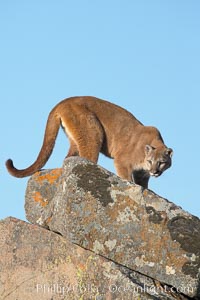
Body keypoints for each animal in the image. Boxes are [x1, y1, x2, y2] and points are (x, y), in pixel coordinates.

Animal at [5, 96, 173, 188]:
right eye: (151, 161)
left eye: (162, 162)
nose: (155, 171)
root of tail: (64, 101)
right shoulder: (122, 161)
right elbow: (126, 178)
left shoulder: (142, 175)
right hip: (93, 133)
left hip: (75, 140)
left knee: (68, 159)